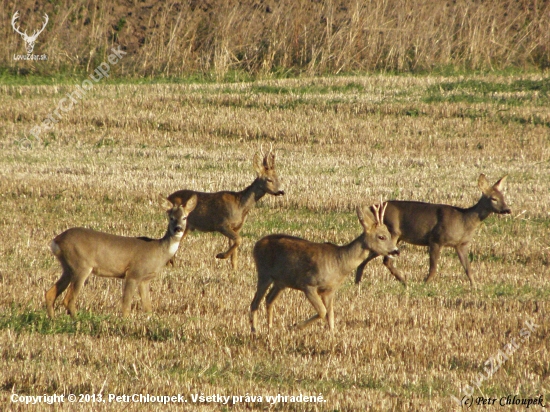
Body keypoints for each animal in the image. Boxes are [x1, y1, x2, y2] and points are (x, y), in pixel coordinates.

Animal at [45, 195, 198, 318]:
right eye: (171, 218)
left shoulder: (145, 279)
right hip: (81, 265)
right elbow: (126, 304)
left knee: (50, 293)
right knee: (69, 299)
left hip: (67, 267)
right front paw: (125, 323)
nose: (178, 229)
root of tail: (57, 240)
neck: (158, 250)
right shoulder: (133, 273)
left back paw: (53, 320)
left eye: (184, 217)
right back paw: (77, 321)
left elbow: (148, 307)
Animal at [356, 174, 512, 286]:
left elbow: (468, 268)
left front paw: (475, 286)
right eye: (493, 198)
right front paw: (425, 284)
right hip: (393, 232)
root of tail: (372, 207)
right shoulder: (436, 239)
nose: (507, 209)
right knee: (385, 260)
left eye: (503, 197)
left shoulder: (461, 245)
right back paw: (405, 281)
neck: (464, 221)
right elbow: (433, 267)